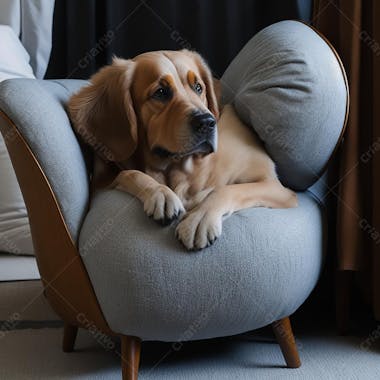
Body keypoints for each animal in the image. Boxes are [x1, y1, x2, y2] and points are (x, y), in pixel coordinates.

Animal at [68, 49, 296, 252]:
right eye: (161, 92)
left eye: (198, 87)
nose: (207, 122)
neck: (175, 168)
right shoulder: (100, 184)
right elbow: (130, 173)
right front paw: (160, 193)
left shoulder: (276, 187)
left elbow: (227, 189)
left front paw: (200, 218)